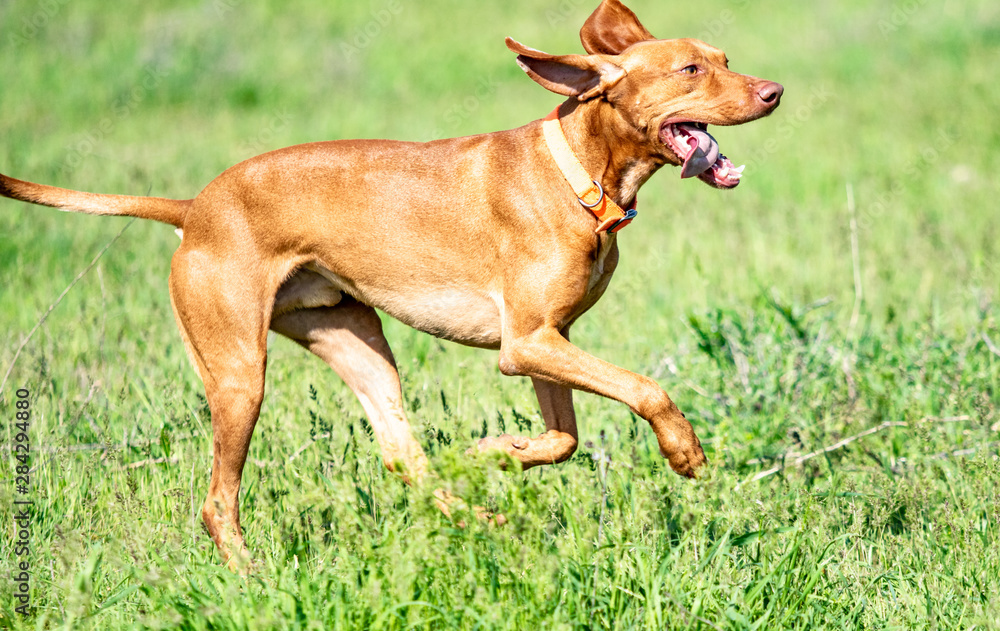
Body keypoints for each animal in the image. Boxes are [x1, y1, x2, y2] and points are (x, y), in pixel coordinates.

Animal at [0, 0, 780, 572]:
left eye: (725, 61)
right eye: (689, 69)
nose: (774, 91)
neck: (578, 174)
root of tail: (193, 210)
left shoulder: (545, 341)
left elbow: (563, 438)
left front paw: (495, 450)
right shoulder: (527, 345)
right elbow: (648, 389)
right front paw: (684, 452)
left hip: (358, 341)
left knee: (405, 455)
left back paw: (484, 518)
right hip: (239, 374)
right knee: (219, 501)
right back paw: (253, 577)